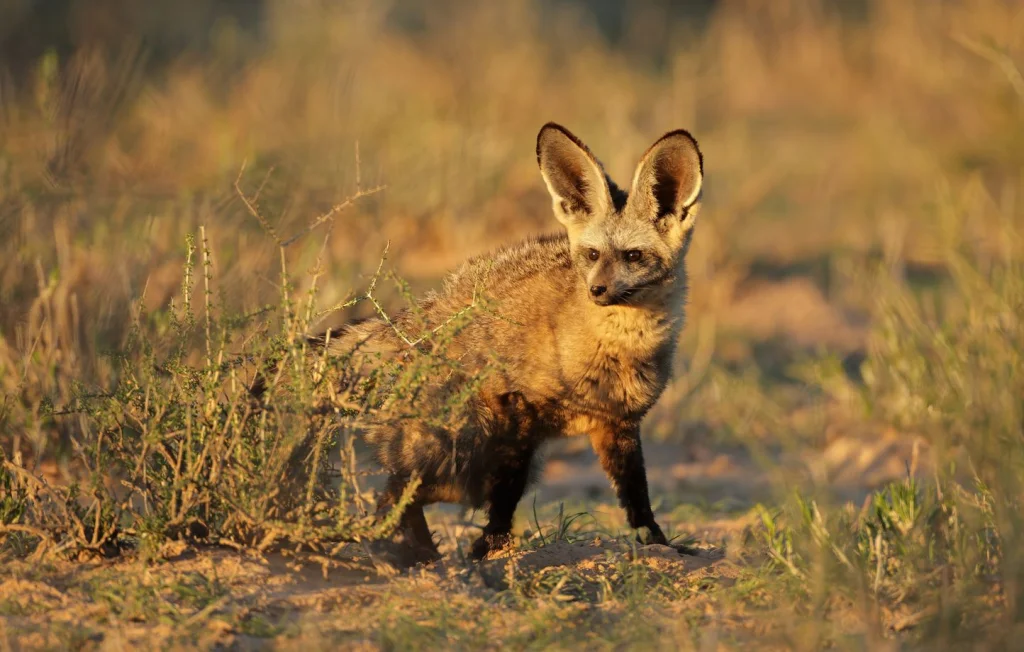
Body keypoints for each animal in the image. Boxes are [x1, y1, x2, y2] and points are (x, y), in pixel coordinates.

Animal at [310, 123, 703, 563]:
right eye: (591, 255)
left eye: (633, 256)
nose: (596, 290)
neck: (616, 348)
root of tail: (428, 312)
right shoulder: (519, 409)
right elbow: (507, 495)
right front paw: (492, 546)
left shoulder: (618, 423)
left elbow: (637, 496)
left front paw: (657, 543)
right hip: (464, 448)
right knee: (396, 493)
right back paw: (409, 553)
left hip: (469, 466)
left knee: (400, 494)